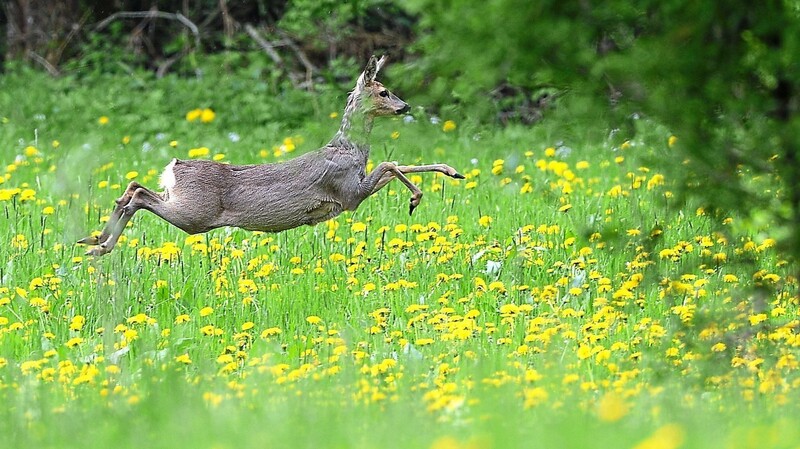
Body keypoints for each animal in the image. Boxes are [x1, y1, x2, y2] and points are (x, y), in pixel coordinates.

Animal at [78, 55, 466, 256]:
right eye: (384, 91)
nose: (405, 107)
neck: (350, 149)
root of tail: (174, 166)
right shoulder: (348, 193)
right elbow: (390, 163)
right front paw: (417, 198)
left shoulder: (352, 192)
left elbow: (396, 163)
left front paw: (453, 171)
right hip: (195, 214)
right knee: (139, 195)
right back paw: (99, 245)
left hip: (184, 204)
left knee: (133, 188)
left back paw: (93, 240)